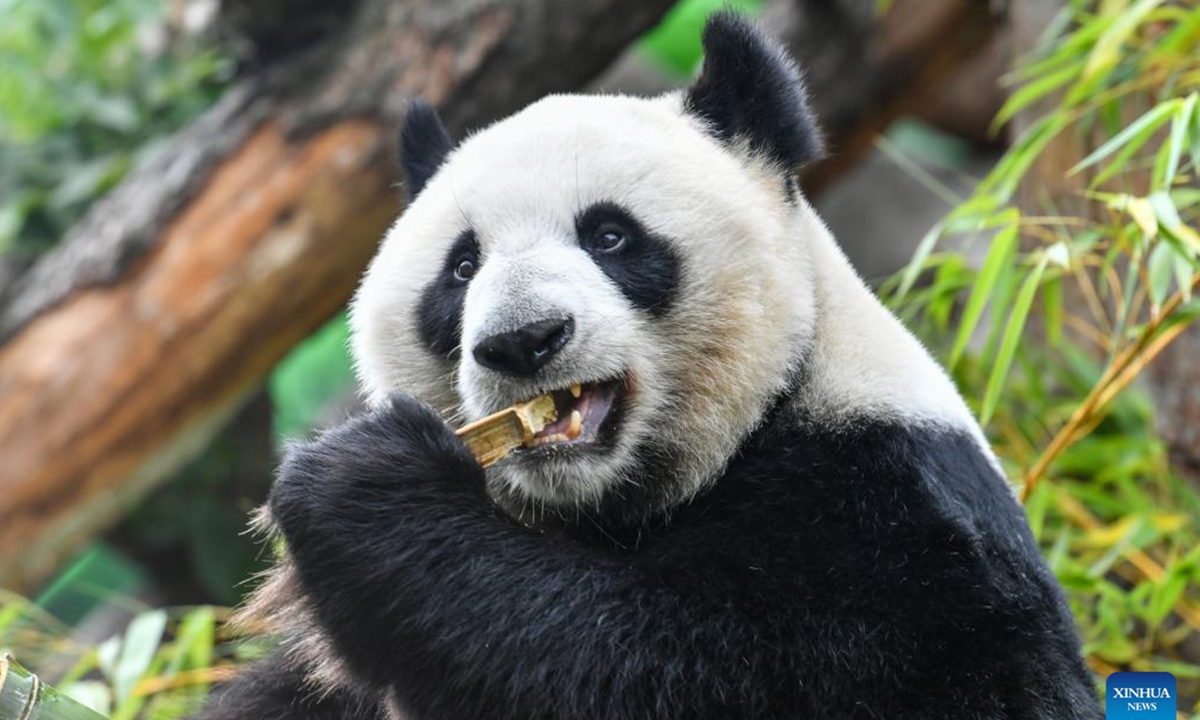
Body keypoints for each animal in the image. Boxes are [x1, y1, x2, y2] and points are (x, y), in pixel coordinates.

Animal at [196, 13, 1103, 720]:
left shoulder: (900, 542)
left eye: (610, 236)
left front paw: (360, 484)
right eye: (461, 268)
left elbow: (646, 666)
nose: (524, 339)